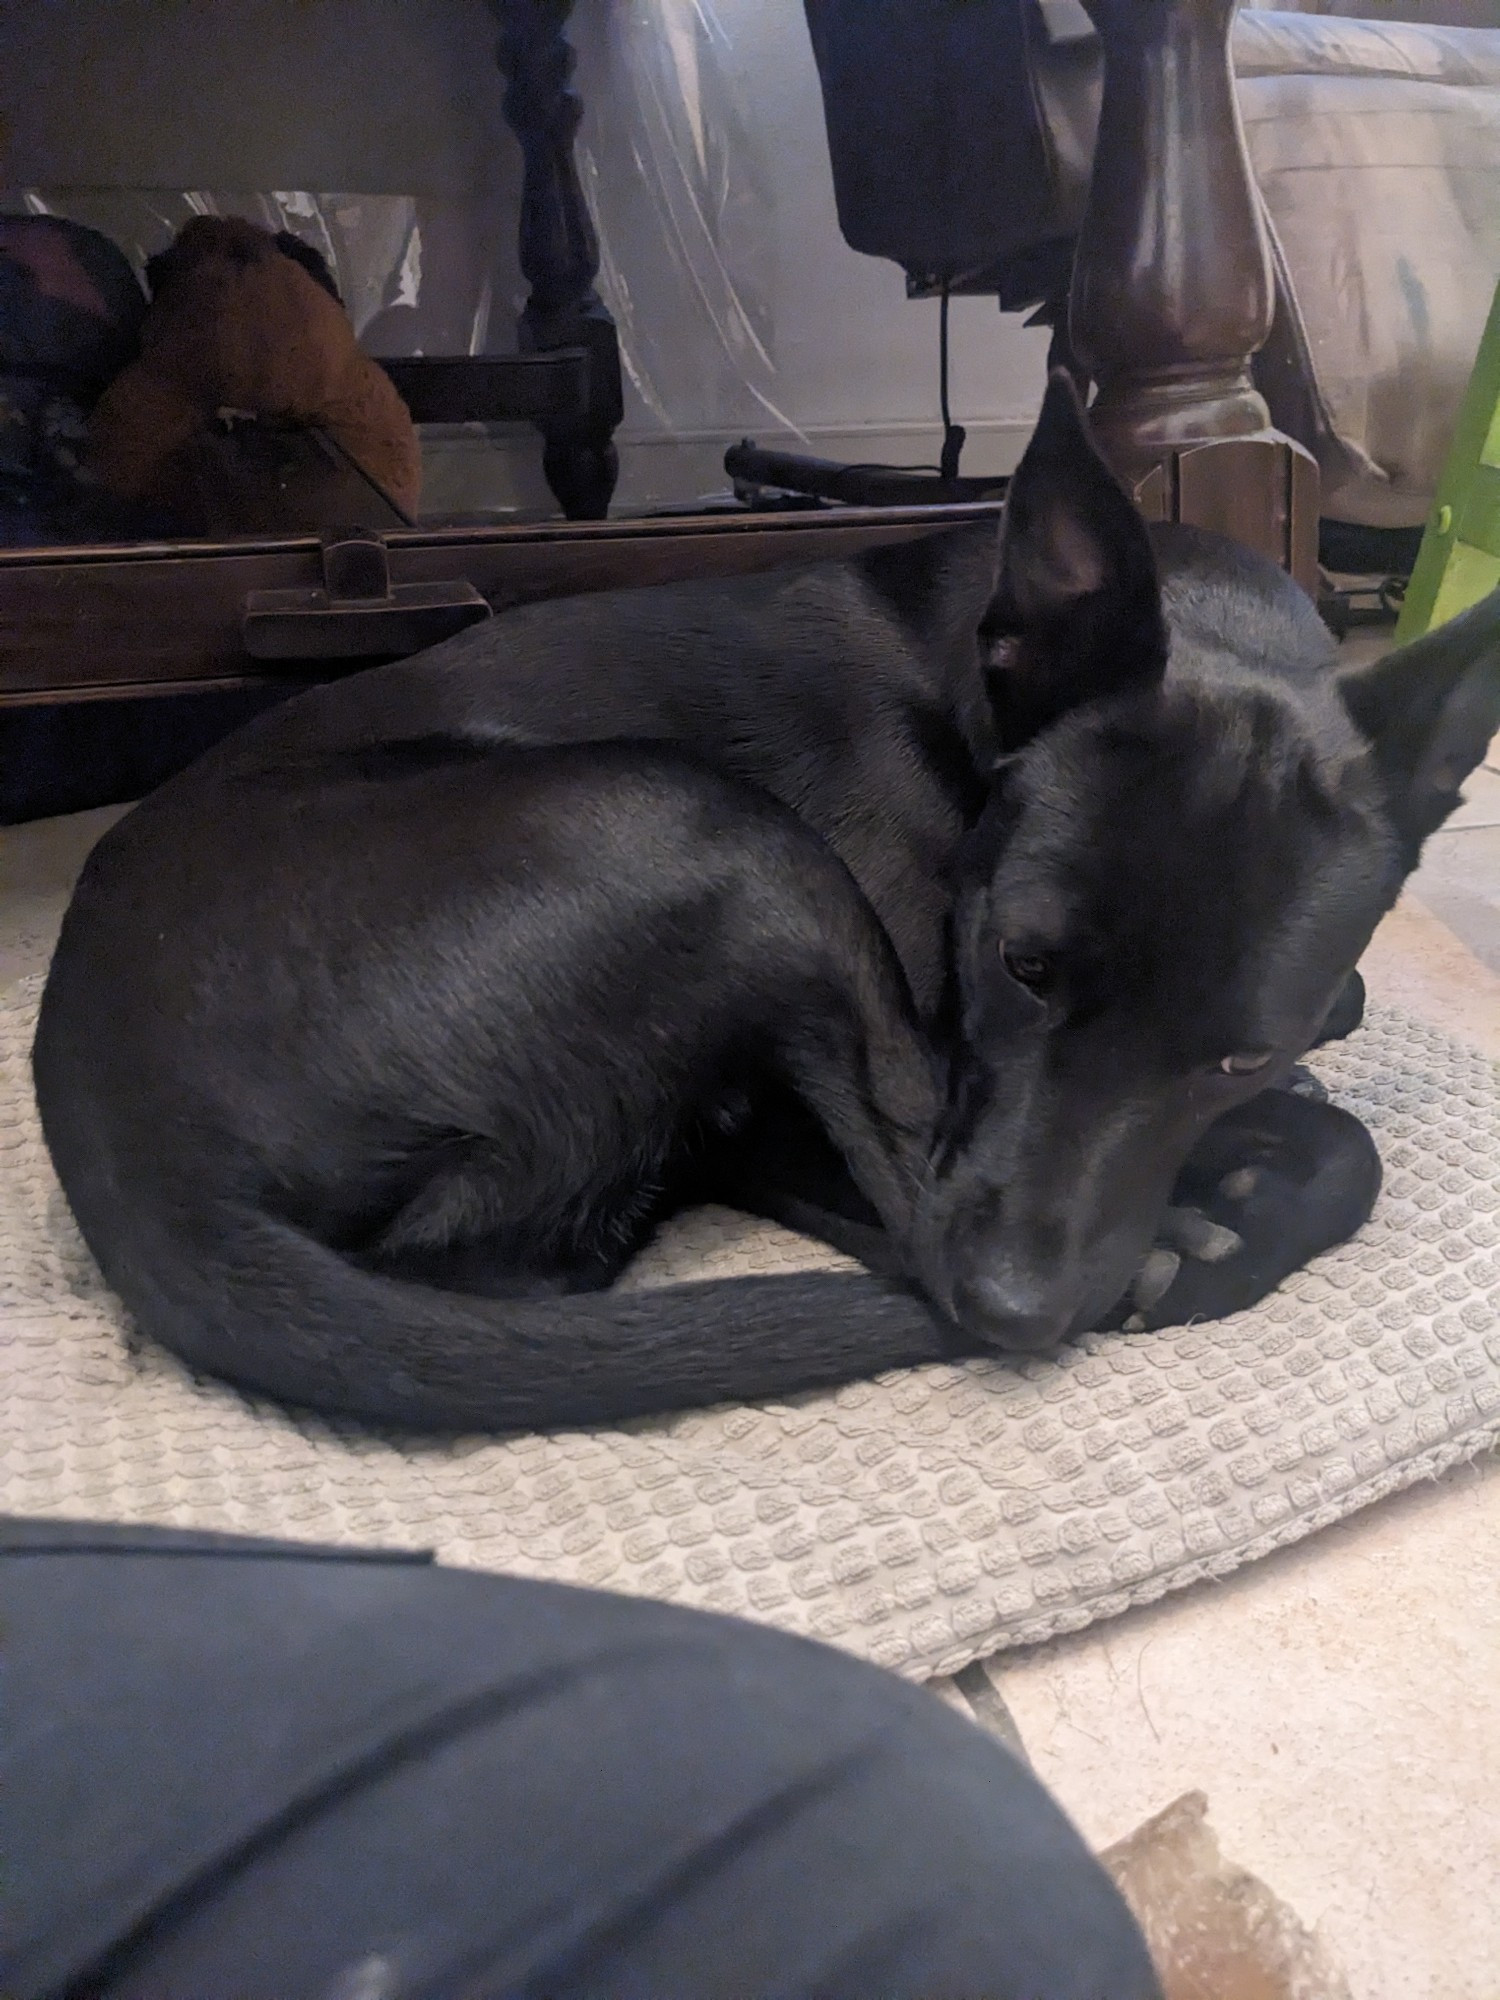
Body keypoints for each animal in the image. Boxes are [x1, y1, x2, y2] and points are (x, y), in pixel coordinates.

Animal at [29, 378, 1500, 1440]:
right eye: (1016, 966)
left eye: (1238, 1049)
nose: (1019, 1314)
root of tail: (134, 1159)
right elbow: (1334, 1147)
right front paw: (1236, 1203)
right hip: (700, 822)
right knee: (886, 1178)